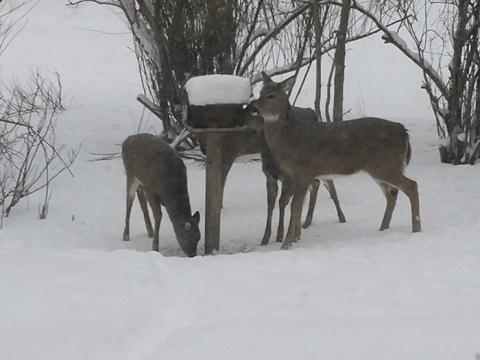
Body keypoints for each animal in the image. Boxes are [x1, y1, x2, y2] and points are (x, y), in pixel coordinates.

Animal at [251, 71, 420, 249]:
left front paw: (286, 244)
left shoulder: (304, 172)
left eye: (271, 95)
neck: (289, 138)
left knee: (411, 186)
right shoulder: (294, 176)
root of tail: (403, 131)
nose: (253, 105)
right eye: (260, 92)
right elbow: (297, 205)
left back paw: (416, 229)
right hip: (380, 168)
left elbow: (295, 206)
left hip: (386, 165)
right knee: (392, 193)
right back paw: (383, 228)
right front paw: (295, 238)